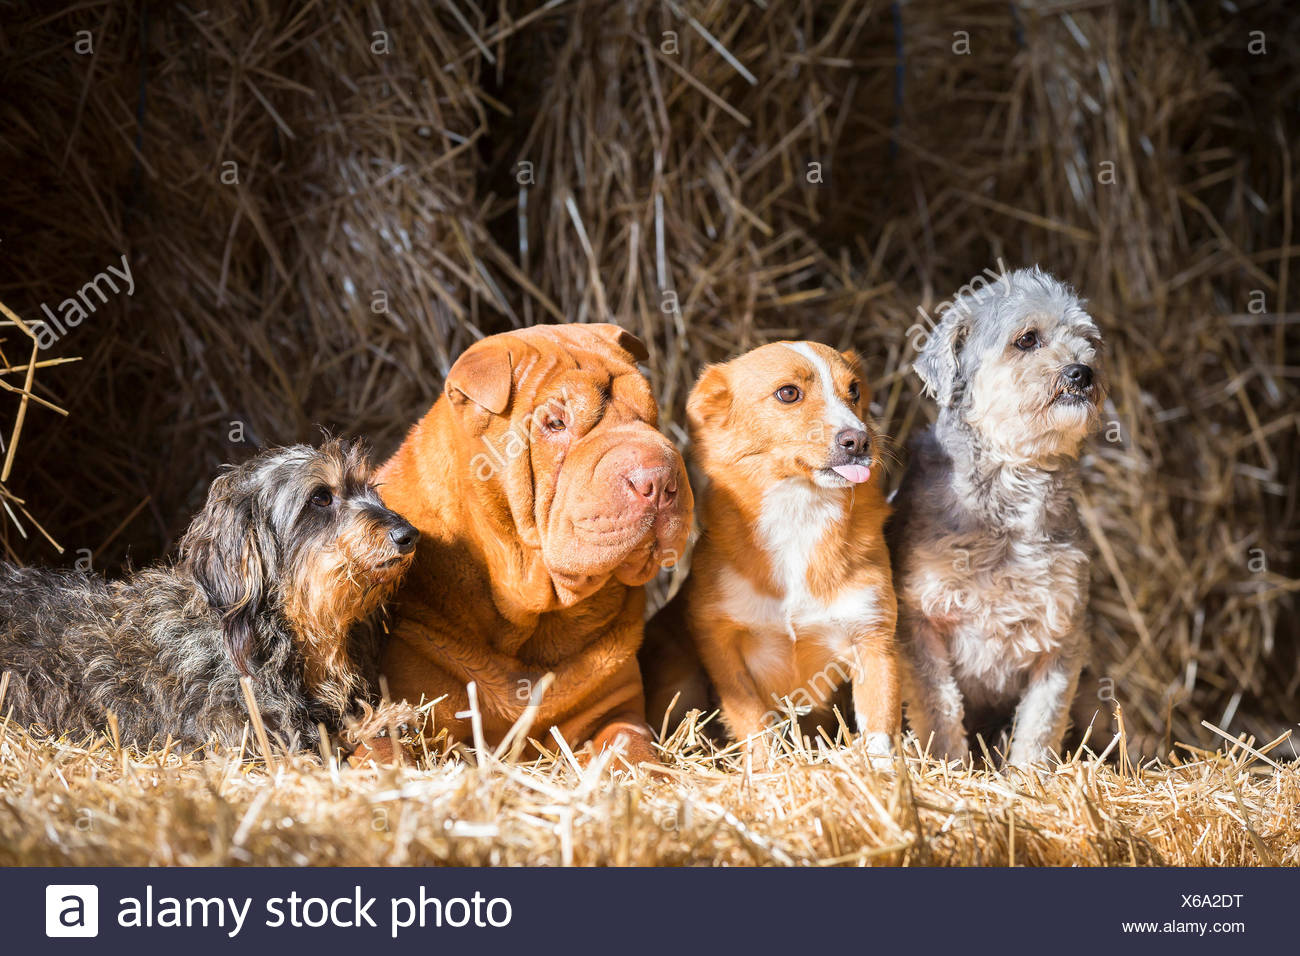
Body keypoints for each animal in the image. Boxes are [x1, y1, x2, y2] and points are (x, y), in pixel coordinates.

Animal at [637, 343, 899, 764]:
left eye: (855, 390)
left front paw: (883, 775)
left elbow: (880, 728)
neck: (798, 514)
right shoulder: (722, 643)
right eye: (788, 393)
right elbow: (753, 723)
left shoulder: (873, 638)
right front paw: (765, 770)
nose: (859, 442)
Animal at [894, 269, 1107, 770]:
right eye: (1027, 339)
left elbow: (1041, 723)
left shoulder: (1063, 632)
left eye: (1088, 342)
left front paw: (1030, 778)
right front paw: (949, 769)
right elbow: (940, 709)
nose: (1082, 372)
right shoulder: (920, 624)